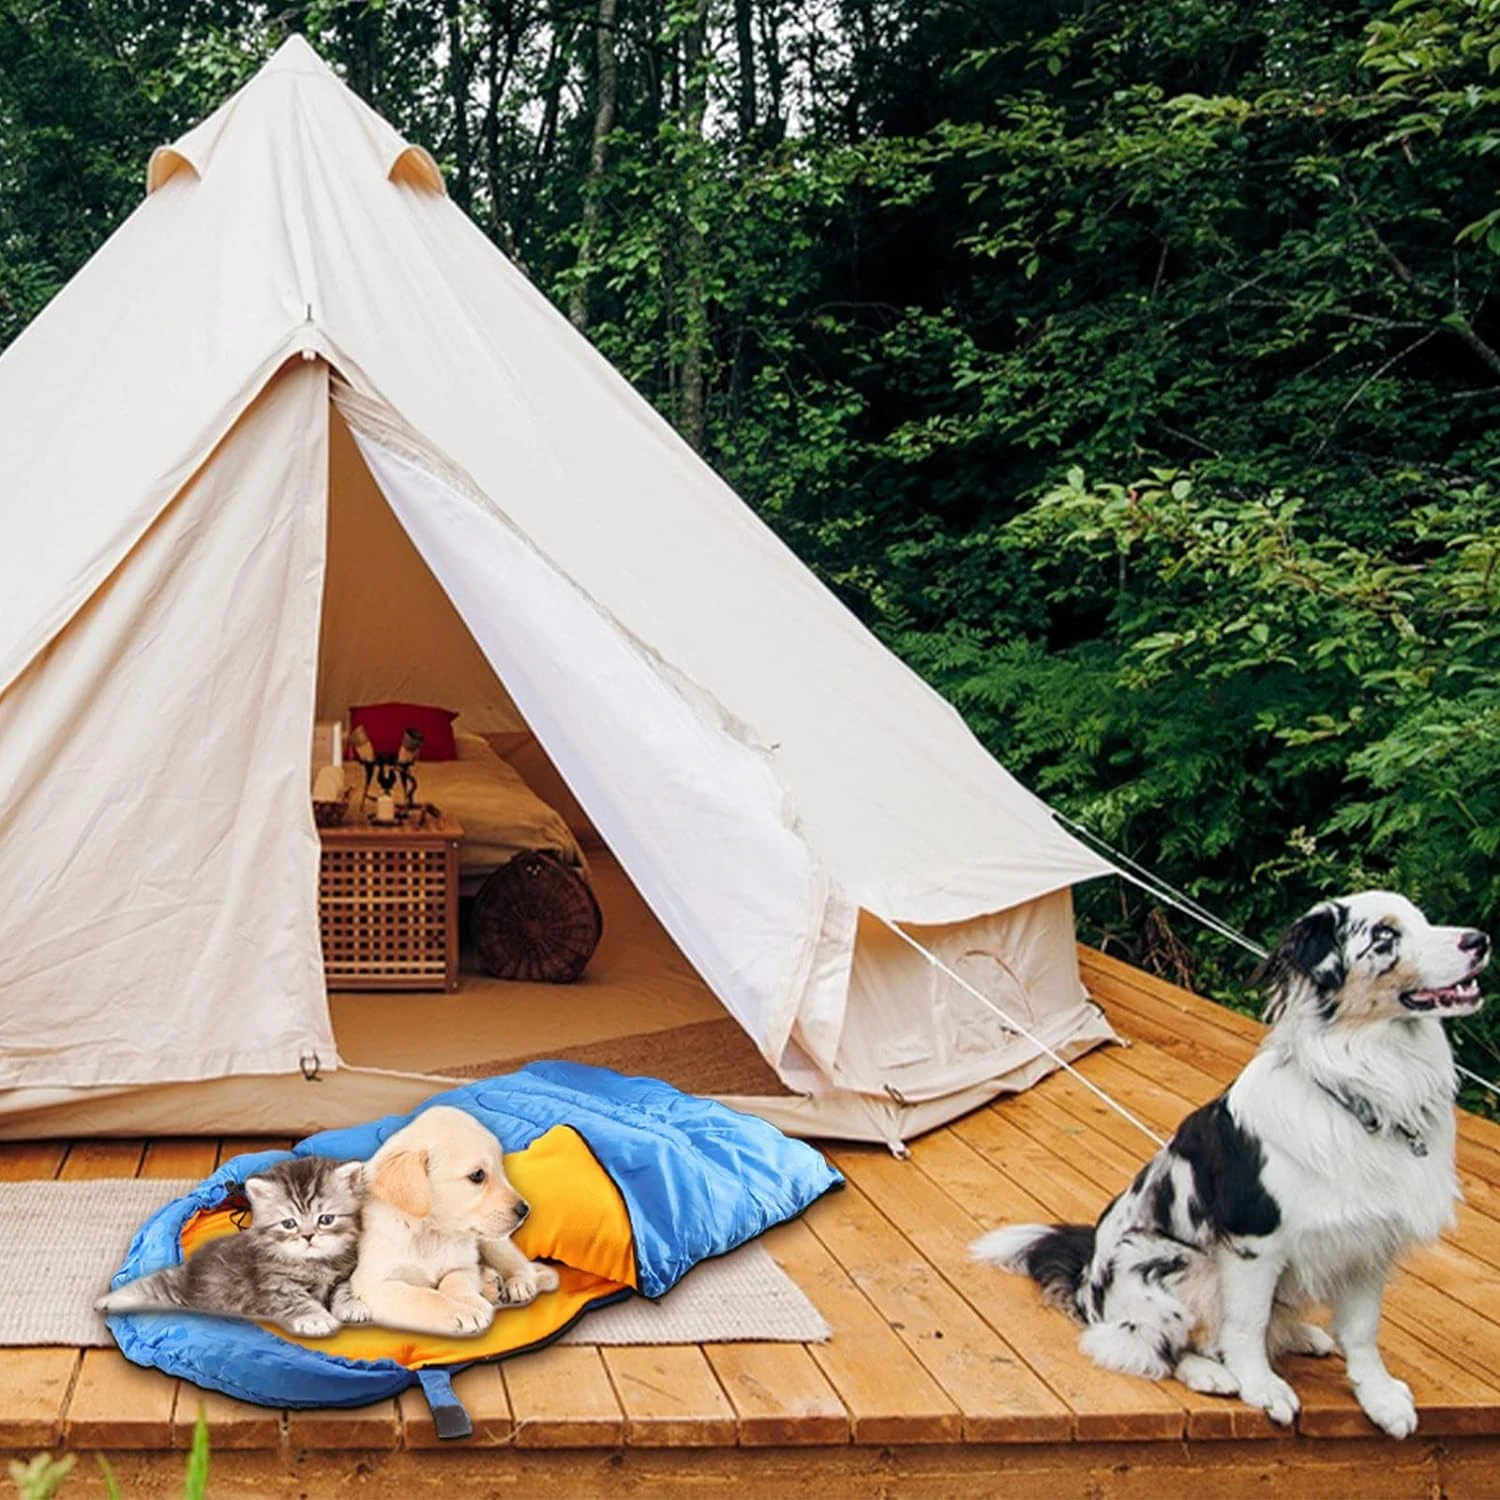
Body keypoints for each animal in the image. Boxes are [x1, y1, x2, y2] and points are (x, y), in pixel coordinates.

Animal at [97, 1152, 366, 1344]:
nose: (308, 1236)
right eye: (289, 1224)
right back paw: (106, 1301)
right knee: (149, 1285)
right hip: (177, 1290)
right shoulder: (273, 1284)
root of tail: (190, 1266)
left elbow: (344, 1286)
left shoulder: (345, 1270)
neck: (315, 1263)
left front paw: (352, 1304)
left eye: (326, 1219)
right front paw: (316, 1318)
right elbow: (296, 1299)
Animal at [340, 1104, 564, 1338]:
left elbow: (455, 1282)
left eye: (501, 1171)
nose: (525, 1210)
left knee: (522, 1265)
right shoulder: (374, 1284)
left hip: (493, 1243)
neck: (431, 1232)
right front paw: (462, 1312)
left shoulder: (461, 1267)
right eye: (477, 1175)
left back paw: (519, 1284)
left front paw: (471, 1301)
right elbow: (424, 1297)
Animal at [972, 894, 1488, 1434]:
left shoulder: (1369, 1244)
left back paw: (1303, 1335)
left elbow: (1363, 1333)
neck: (1366, 1090)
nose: (1480, 940)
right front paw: (1262, 1388)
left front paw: (1382, 1399)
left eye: (1424, 919)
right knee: (1140, 1342)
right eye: (1385, 936)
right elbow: (1245, 1325)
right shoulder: (1253, 1241)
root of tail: (1085, 1279)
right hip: (1165, 1262)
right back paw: (1210, 1372)